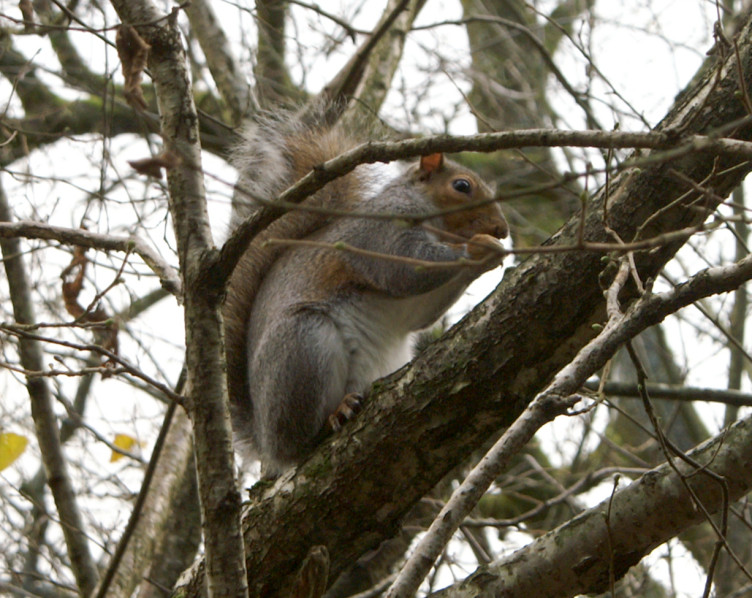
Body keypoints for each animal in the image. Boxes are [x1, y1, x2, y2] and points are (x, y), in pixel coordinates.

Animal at [223, 113, 508, 476]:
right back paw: (332, 416)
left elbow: (420, 311)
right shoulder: (381, 231)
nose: (502, 229)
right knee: (299, 440)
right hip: (302, 346)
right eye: (462, 186)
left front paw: (491, 253)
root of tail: (264, 439)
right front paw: (477, 248)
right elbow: (405, 270)